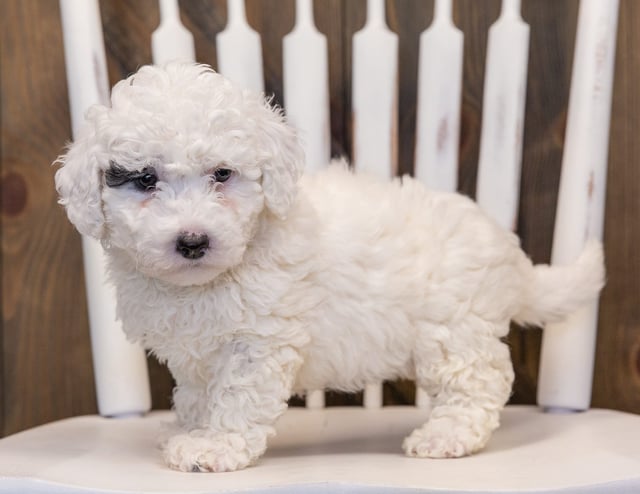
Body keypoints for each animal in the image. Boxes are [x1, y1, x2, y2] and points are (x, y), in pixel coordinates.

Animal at [55, 61, 604, 470]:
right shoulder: (195, 355)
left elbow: (236, 397)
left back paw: (446, 436)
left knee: (479, 384)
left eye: (222, 174)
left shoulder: (259, 341)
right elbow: (195, 394)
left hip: (454, 332)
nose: (193, 241)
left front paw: (214, 446)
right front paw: (188, 429)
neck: (210, 278)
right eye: (144, 179)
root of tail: (506, 248)